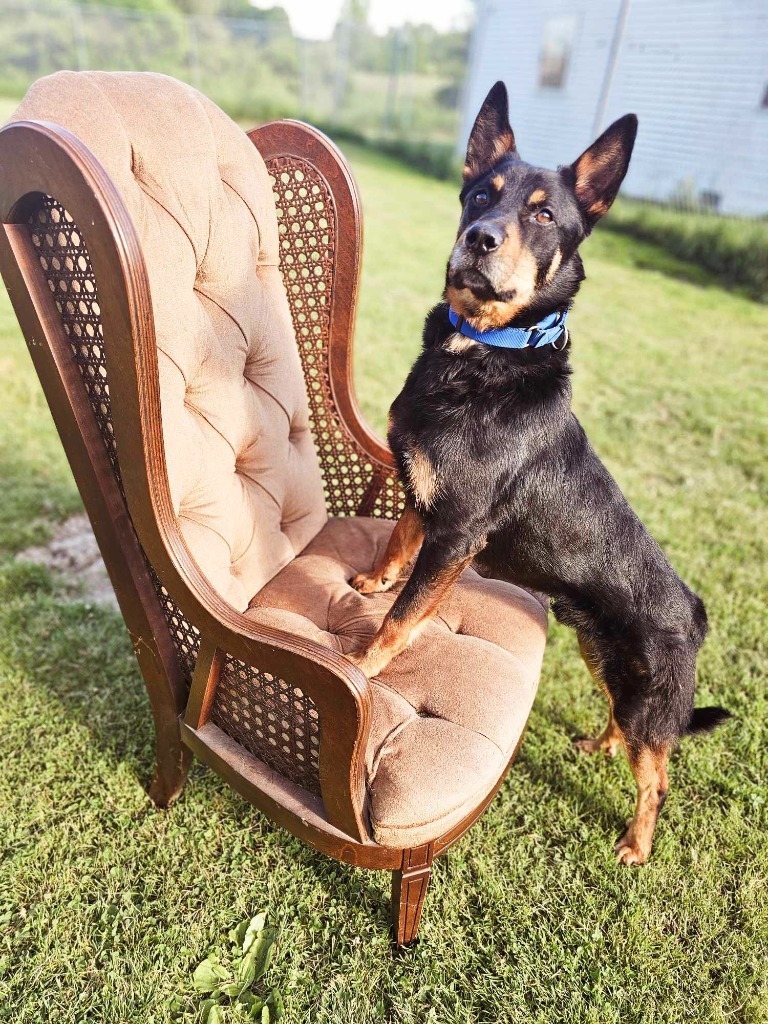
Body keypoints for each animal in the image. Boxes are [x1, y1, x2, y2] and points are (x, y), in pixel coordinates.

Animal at [348, 83, 729, 864]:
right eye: (478, 196)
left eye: (544, 214)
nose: (479, 239)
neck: (483, 351)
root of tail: (696, 612)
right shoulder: (424, 499)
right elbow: (396, 545)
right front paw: (372, 580)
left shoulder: (457, 535)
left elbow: (403, 619)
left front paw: (365, 665)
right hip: (601, 658)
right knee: (619, 726)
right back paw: (598, 744)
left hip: (650, 699)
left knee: (657, 776)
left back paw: (636, 844)